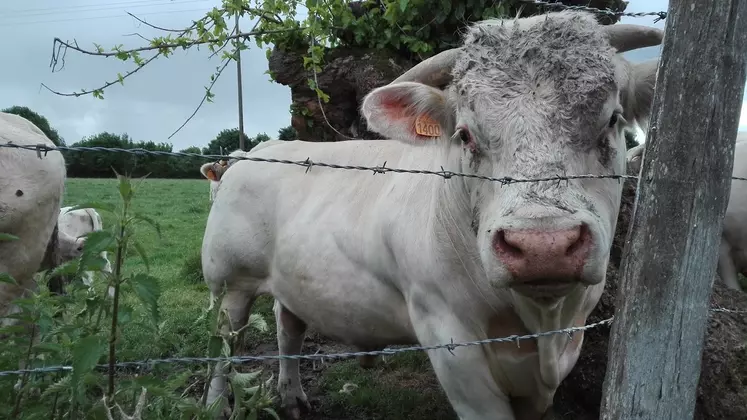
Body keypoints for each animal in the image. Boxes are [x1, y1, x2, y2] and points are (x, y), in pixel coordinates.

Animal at [202, 10, 664, 420]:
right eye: (465, 134)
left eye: (613, 120)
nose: (543, 246)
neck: (541, 324)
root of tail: (257, 151)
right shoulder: (451, 344)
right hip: (228, 282)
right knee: (224, 344)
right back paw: (215, 402)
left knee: (288, 328)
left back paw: (292, 396)